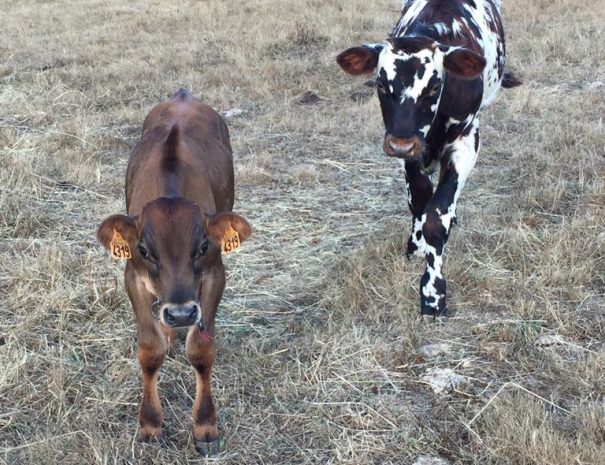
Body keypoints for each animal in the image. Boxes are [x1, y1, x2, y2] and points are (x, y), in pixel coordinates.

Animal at [96, 89, 250, 454]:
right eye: (143, 250)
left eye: (203, 247)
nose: (180, 314)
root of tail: (183, 96)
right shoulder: (133, 278)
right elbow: (150, 350)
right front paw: (150, 425)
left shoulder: (214, 275)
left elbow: (201, 351)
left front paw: (205, 427)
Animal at [336, 0, 520, 320]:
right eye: (381, 85)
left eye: (434, 87)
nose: (400, 143)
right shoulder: (409, 152)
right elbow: (420, 200)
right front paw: (417, 245)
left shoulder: (467, 141)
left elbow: (437, 215)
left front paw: (433, 292)